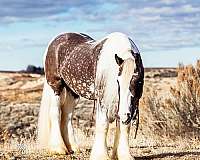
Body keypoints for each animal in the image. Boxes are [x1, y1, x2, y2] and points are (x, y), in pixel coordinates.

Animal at [37, 31, 144, 159]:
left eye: (138, 81)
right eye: (118, 81)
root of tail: (55, 41)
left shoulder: (129, 104)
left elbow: (124, 126)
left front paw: (124, 155)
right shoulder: (102, 99)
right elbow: (103, 125)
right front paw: (101, 156)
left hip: (72, 91)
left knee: (67, 116)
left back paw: (73, 147)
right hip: (56, 86)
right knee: (55, 113)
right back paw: (58, 148)